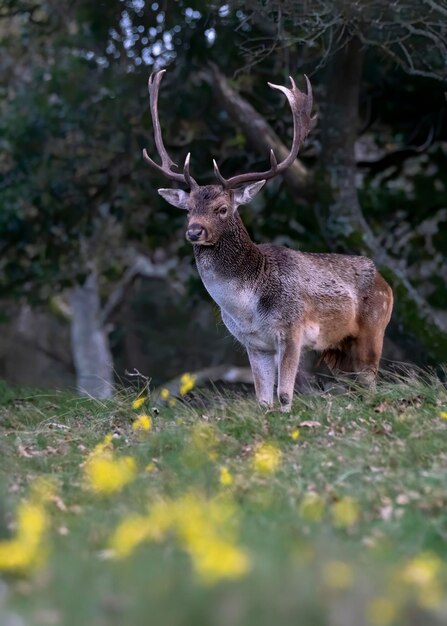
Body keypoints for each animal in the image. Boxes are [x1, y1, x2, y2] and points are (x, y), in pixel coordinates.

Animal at [143, 70, 392, 412]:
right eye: (188, 208)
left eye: (222, 209)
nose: (194, 231)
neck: (245, 307)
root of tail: (386, 282)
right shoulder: (253, 343)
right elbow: (263, 400)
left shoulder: (292, 329)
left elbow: (285, 394)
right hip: (339, 346)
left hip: (374, 327)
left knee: (370, 382)